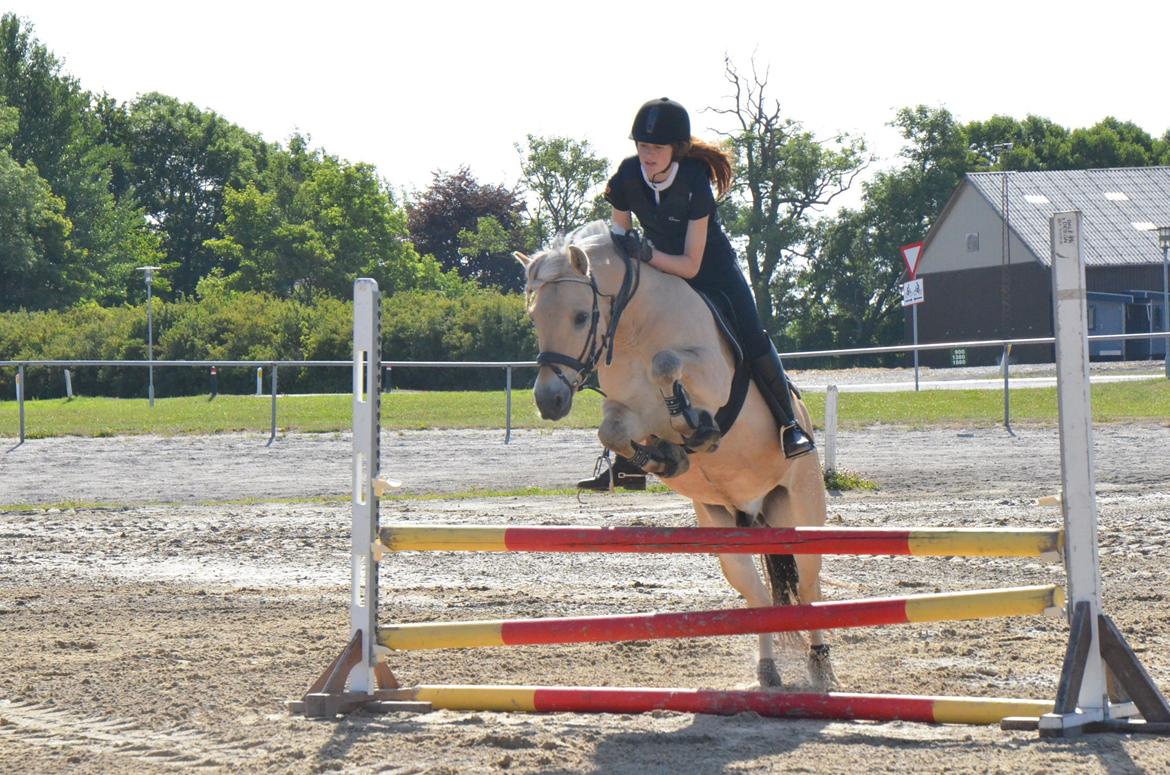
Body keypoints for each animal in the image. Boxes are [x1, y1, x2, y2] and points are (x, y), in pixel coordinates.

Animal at [517, 220, 837, 693]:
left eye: (580, 316)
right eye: (535, 318)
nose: (549, 400)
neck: (635, 327)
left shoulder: (711, 380)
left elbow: (667, 364)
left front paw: (696, 428)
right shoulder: (626, 412)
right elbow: (613, 431)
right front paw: (667, 459)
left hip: (800, 514)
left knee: (810, 590)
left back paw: (820, 667)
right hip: (726, 531)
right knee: (759, 598)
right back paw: (767, 672)